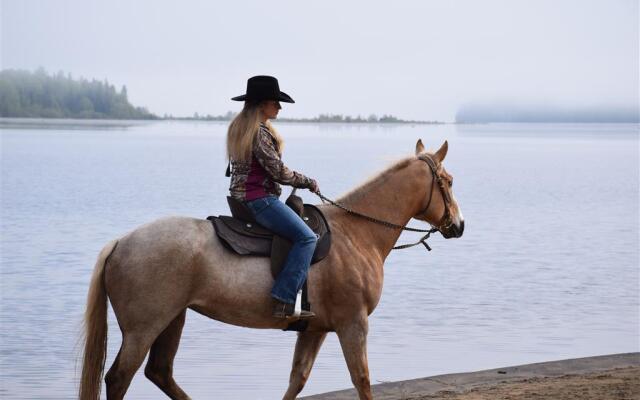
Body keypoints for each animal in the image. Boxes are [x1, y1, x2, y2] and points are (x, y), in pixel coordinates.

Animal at [80, 139, 464, 398]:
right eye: (448, 180)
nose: (459, 225)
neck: (357, 233)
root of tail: (121, 242)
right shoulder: (353, 324)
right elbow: (362, 380)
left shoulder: (314, 329)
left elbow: (297, 380)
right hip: (144, 328)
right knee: (119, 378)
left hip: (172, 319)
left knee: (160, 373)